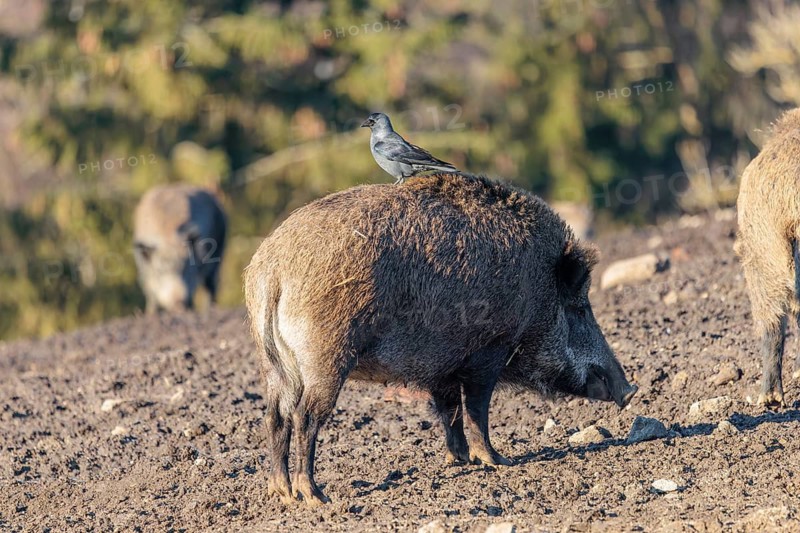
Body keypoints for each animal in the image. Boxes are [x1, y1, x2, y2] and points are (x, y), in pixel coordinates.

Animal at [133, 184, 226, 313]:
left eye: (185, 268)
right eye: (160, 271)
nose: (179, 303)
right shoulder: (144, 269)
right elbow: (150, 293)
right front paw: (151, 314)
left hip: (219, 252)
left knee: (211, 284)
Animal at [244, 172, 638, 505]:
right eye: (579, 309)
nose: (630, 390)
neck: (536, 288)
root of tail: (273, 268)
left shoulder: (440, 366)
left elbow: (449, 410)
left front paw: (459, 460)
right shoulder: (489, 350)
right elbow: (476, 408)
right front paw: (497, 461)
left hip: (275, 365)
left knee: (275, 416)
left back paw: (282, 492)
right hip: (326, 358)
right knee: (305, 416)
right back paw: (314, 496)